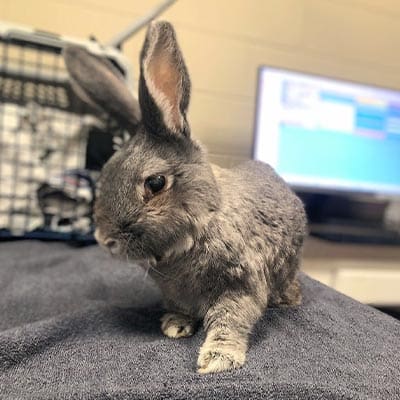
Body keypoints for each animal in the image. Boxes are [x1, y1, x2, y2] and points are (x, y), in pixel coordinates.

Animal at [64, 20, 306, 374]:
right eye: (105, 170)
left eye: (155, 183)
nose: (104, 240)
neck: (205, 222)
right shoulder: (176, 292)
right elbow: (182, 308)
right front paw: (175, 326)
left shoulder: (242, 286)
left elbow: (229, 321)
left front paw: (217, 360)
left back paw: (288, 299)